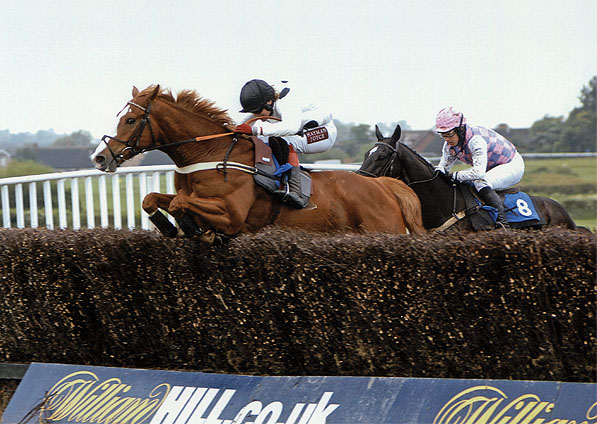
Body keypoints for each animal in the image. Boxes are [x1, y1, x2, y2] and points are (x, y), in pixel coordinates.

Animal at [92, 85, 424, 242]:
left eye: (130, 120)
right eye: (121, 117)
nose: (100, 156)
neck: (209, 152)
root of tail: (383, 186)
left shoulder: (232, 215)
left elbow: (178, 204)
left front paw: (188, 227)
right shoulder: (191, 196)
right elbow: (153, 198)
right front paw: (169, 226)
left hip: (386, 230)